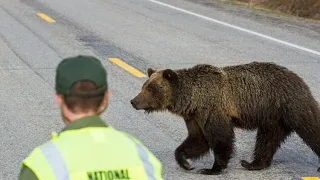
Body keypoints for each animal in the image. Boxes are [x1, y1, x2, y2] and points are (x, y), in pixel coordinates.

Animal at [129, 61, 320, 174]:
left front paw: (212, 168)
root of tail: (299, 79)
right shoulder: (195, 116)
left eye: (151, 88)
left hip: (291, 104)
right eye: (144, 86)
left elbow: (220, 138)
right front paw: (185, 162)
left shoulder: (213, 109)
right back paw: (253, 163)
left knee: (311, 128)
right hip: (273, 118)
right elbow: (198, 139)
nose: (134, 101)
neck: (193, 98)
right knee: (267, 139)